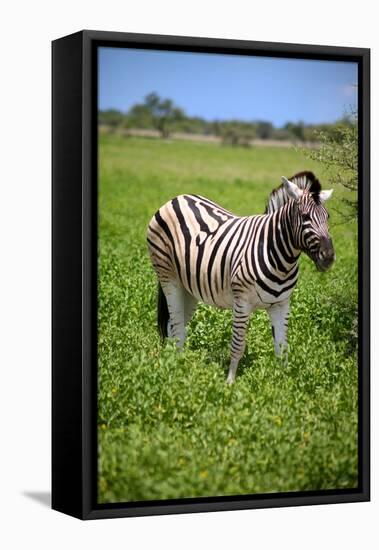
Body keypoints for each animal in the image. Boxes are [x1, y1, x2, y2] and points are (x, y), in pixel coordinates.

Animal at [146, 171, 336, 384]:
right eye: (305, 217)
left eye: (327, 217)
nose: (329, 257)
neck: (278, 256)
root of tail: (176, 198)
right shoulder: (242, 302)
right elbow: (238, 345)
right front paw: (229, 383)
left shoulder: (281, 304)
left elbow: (282, 349)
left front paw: (283, 382)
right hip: (168, 278)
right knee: (177, 327)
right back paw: (177, 370)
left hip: (188, 287)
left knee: (173, 327)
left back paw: (173, 363)